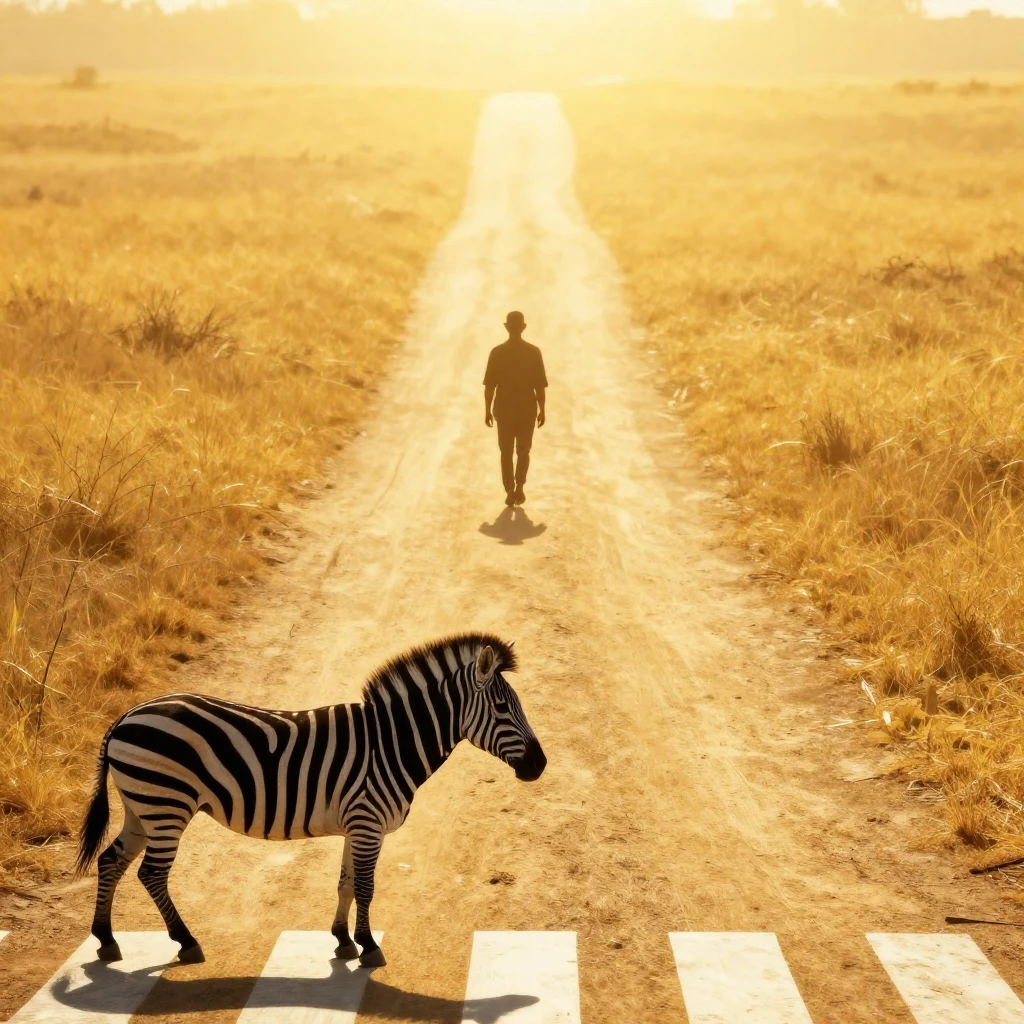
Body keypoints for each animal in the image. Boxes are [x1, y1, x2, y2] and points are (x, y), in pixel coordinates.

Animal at [75, 633, 546, 968]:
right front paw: (369, 946)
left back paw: (106, 940)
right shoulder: (369, 822)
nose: (539, 765)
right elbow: (366, 886)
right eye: (502, 707)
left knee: (111, 860)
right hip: (166, 804)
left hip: (142, 806)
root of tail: (126, 716)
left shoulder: (358, 824)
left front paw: (343, 940)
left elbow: (345, 883)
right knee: (151, 874)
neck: (392, 743)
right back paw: (186, 942)